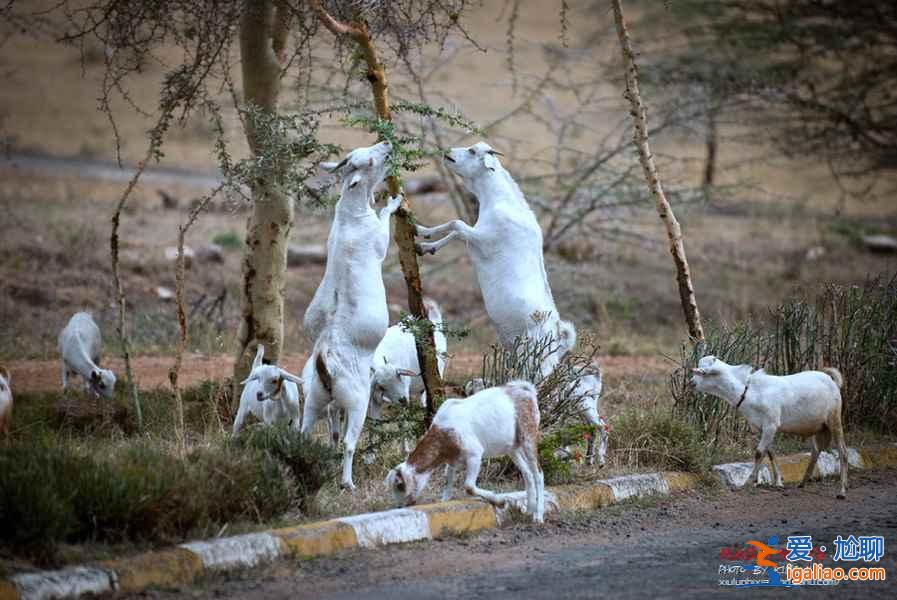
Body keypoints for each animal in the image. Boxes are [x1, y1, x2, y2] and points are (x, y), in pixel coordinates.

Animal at [300, 141, 400, 492]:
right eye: (368, 161)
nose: (387, 144)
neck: (350, 216)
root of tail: (325, 363)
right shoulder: (379, 239)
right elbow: (385, 221)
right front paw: (394, 201)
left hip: (314, 399)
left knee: (303, 432)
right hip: (357, 400)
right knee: (348, 441)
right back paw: (347, 482)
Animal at [382, 382, 544, 524]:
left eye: (400, 485)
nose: (399, 506)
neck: (445, 430)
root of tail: (526, 390)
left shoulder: (475, 455)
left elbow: (469, 486)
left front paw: (500, 501)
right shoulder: (452, 460)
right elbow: (447, 484)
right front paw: (443, 503)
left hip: (529, 437)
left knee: (538, 473)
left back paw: (538, 516)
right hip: (512, 448)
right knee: (527, 473)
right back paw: (529, 510)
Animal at [414, 141, 576, 376]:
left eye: (472, 151)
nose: (448, 152)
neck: (501, 201)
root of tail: (558, 339)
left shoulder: (484, 240)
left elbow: (456, 224)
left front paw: (420, 233)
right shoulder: (475, 237)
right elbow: (456, 232)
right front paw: (424, 241)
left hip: (535, 360)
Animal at [688, 356, 848, 496]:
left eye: (703, 372)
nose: (691, 383)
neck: (750, 390)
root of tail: (830, 379)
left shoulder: (771, 424)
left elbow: (759, 452)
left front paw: (750, 481)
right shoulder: (761, 428)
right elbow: (770, 453)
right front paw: (778, 482)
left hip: (834, 420)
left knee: (842, 451)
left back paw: (842, 490)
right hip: (813, 426)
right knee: (815, 450)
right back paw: (802, 482)